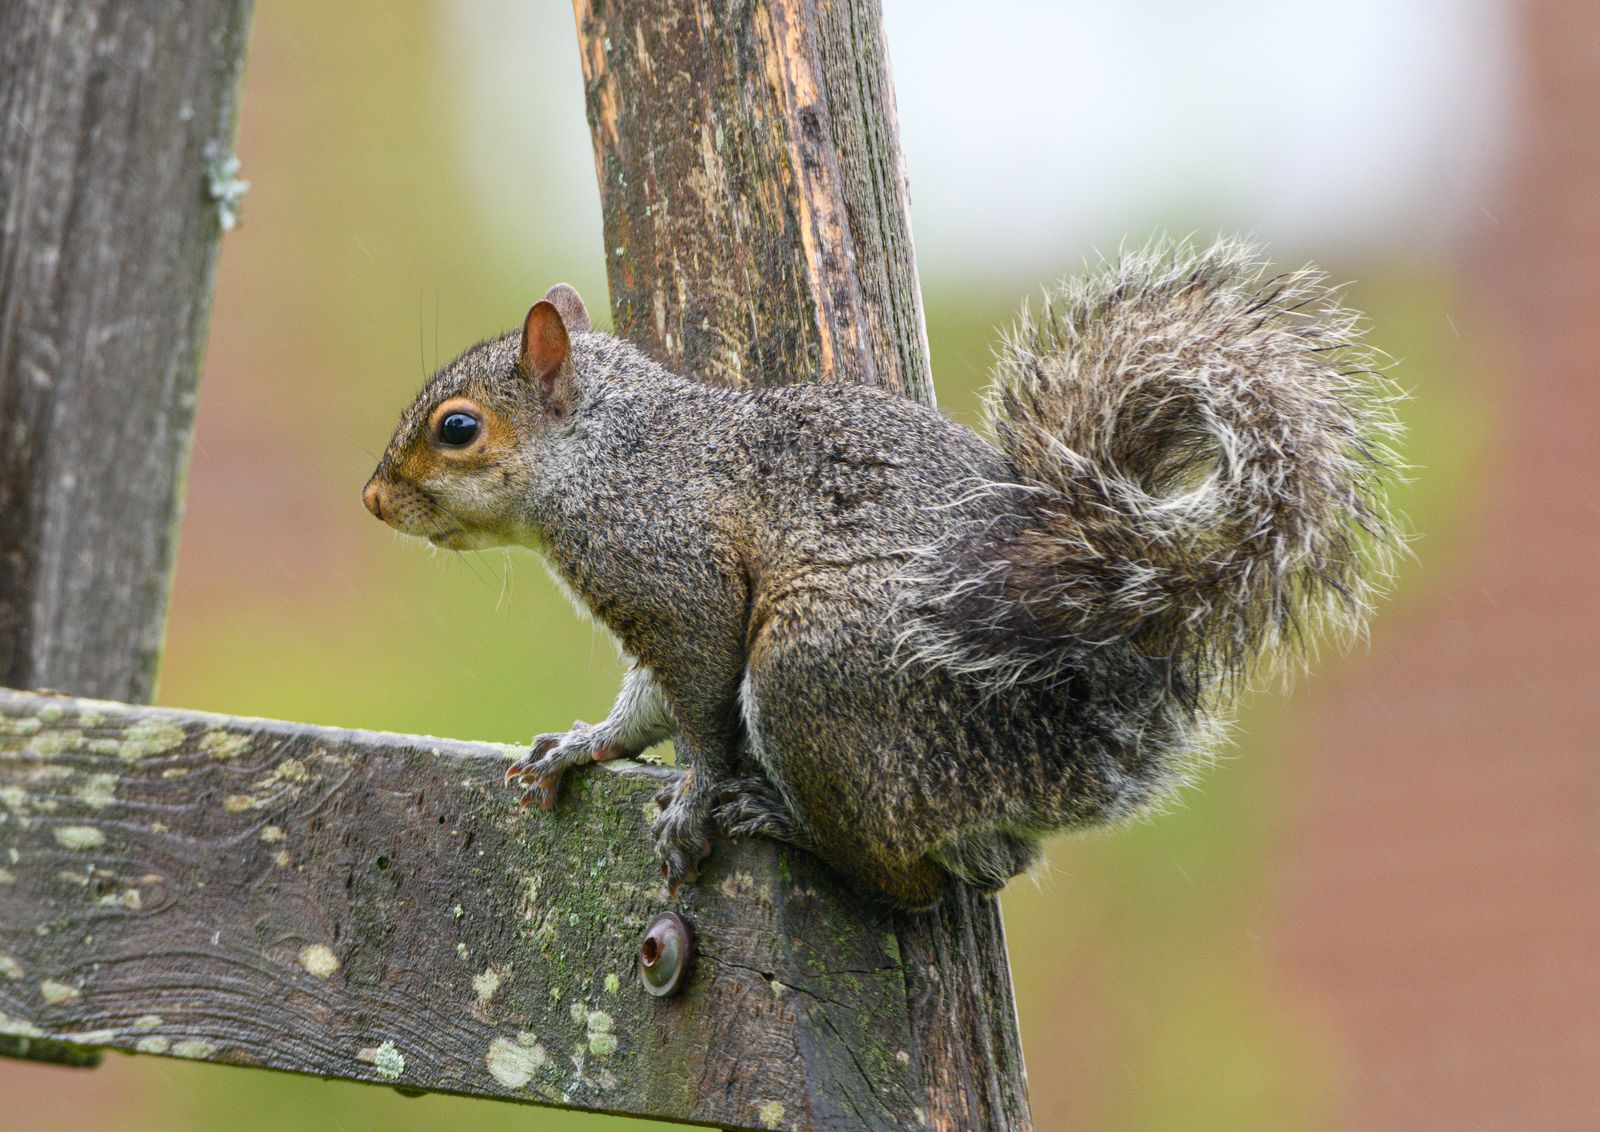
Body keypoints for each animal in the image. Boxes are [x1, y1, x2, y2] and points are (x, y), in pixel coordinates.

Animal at [362, 237, 1403, 909]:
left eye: (458, 429)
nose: (373, 500)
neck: (612, 453)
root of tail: (1058, 751)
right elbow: (646, 707)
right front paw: (580, 746)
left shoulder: (680, 580)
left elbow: (699, 707)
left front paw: (692, 801)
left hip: (810, 673)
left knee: (904, 883)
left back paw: (780, 818)